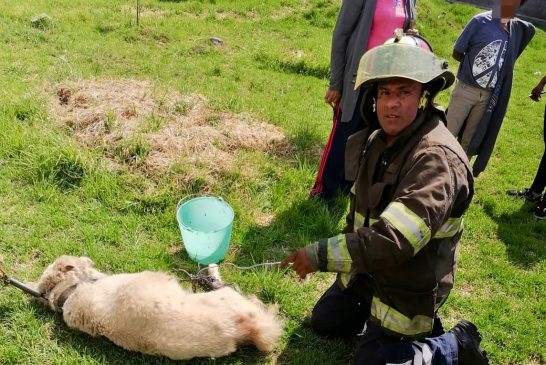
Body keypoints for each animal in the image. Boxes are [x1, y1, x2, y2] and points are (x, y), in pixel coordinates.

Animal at [34, 255, 282, 360]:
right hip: (227, 297)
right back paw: (211, 273)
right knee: (230, 286)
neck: (69, 293)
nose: (89, 258)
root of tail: (248, 330)